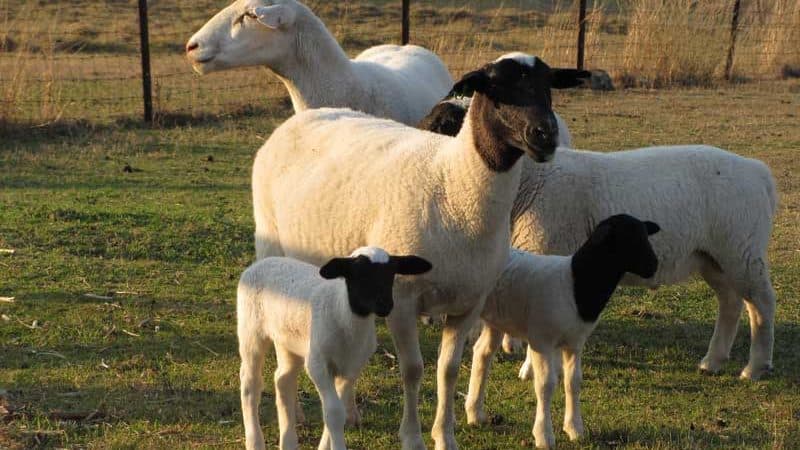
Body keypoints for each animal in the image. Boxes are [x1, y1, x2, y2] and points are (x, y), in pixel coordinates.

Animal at [237, 246, 432, 450]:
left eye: (392, 273)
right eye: (359, 273)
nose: (385, 306)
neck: (342, 312)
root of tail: (260, 263)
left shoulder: (351, 369)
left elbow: (336, 413)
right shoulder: (318, 365)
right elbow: (334, 413)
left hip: (287, 340)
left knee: (283, 379)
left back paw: (288, 442)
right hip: (251, 331)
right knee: (250, 384)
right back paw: (255, 441)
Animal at [418, 96, 779, 382]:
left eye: (449, 125)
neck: (530, 181)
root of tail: (759, 172)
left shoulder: (547, 251)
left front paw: (529, 369)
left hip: (741, 248)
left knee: (761, 302)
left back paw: (755, 367)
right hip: (712, 255)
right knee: (730, 301)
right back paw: (712, 361)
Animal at [465, 214, 661, 449]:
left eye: (645, 235)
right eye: (628, 238)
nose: (654, 265)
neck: (576, 283)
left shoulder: (574, 343)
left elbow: (573, 382)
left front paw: (575, 429)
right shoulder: (542, 341)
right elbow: (545, 385)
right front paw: (544, 436)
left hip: (497, 320)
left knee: (482, 353)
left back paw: (475, 414)